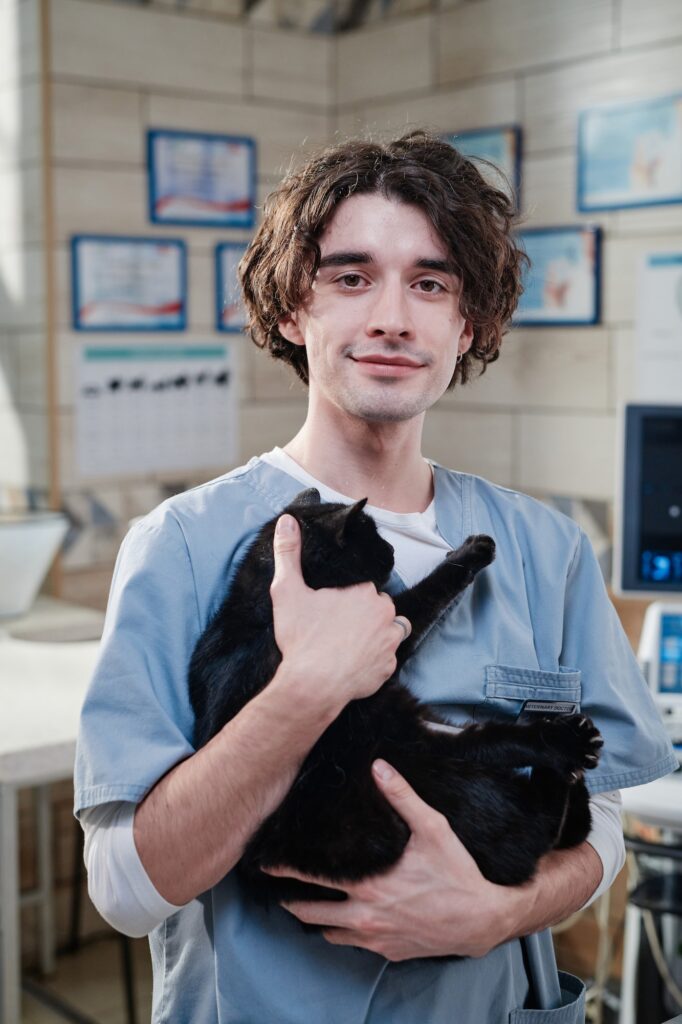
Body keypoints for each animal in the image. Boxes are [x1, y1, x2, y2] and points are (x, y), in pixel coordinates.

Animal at [187, 487, 602, 905]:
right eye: (370, 536)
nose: (390, 548)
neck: (261, 611)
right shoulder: (386, 626)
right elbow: (423, 597)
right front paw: (471, 553)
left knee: (488, 746)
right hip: (410, 752)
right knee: (537, 814)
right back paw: (569, 751)